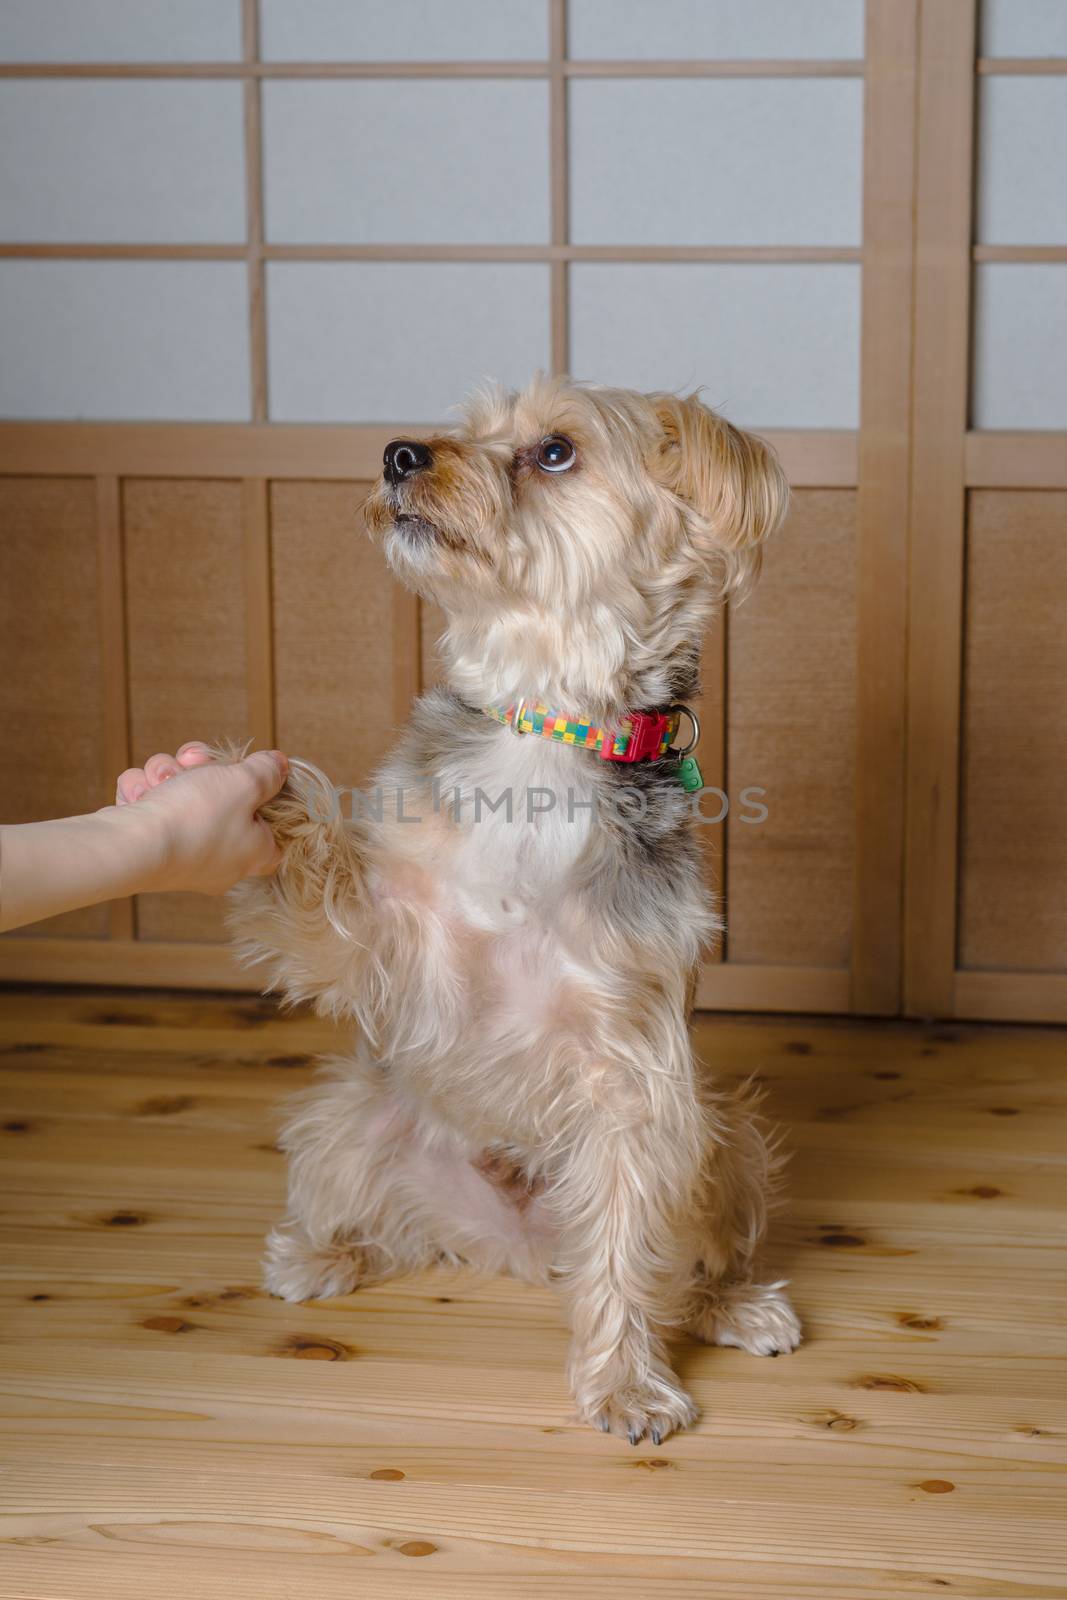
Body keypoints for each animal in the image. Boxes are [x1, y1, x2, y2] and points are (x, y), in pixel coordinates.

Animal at [231, 377, 799, 1452]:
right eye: (467, 430)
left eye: (554, 451)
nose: (398, 454)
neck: (543, 727)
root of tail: (525, 1247)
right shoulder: (383, 942)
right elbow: (327, 897)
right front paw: (267, 804)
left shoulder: (631, 1066)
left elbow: (624, 1247)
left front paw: (625, 1386)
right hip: (353, 1113)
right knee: (383, 1219)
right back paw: (322, 1256)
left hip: (722, 1135)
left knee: (673, 1254)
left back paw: (736, 1305)